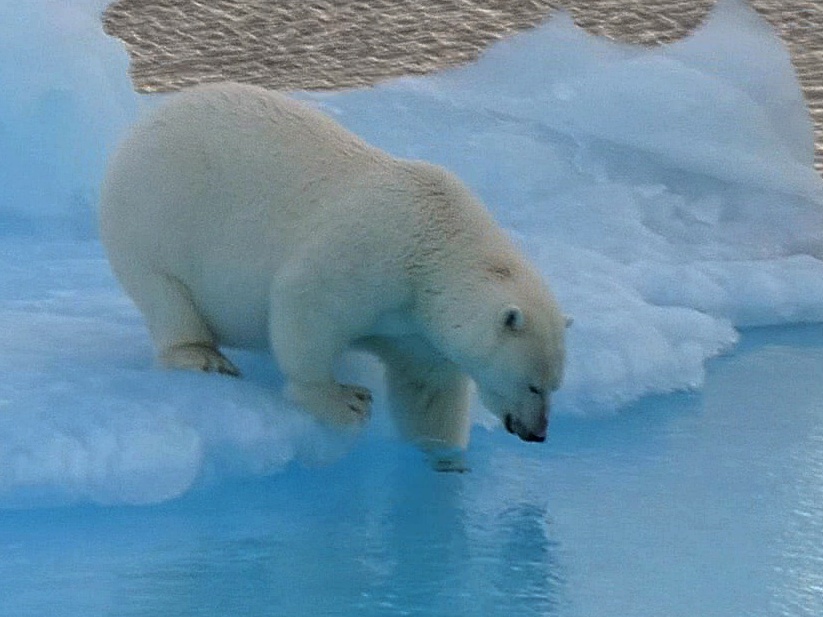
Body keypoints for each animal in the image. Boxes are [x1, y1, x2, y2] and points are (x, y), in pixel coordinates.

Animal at [100, 82, 567, 460]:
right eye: (533, 385)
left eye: (554, 385)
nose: (537, 433)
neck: (439, 238)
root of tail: (139, 128)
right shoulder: (371, 254)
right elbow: (305, 303)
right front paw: (346, 402)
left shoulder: (417, 328)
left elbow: (427, 394)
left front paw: (443, 459)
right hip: (155, 219)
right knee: (166, 295)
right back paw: (202, 356)